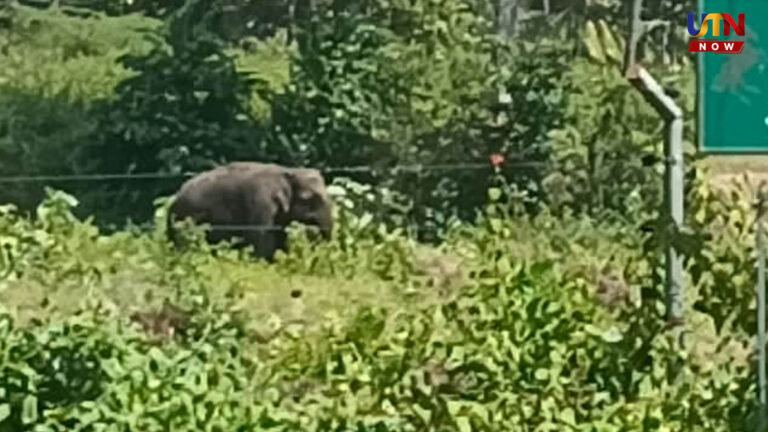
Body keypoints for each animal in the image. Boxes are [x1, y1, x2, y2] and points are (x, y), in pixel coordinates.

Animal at [166, 161, 333, 261]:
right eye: (308, 198)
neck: (287, 171)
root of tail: (174, 200)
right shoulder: (260, 202)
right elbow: (260, 237)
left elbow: (280, 237)